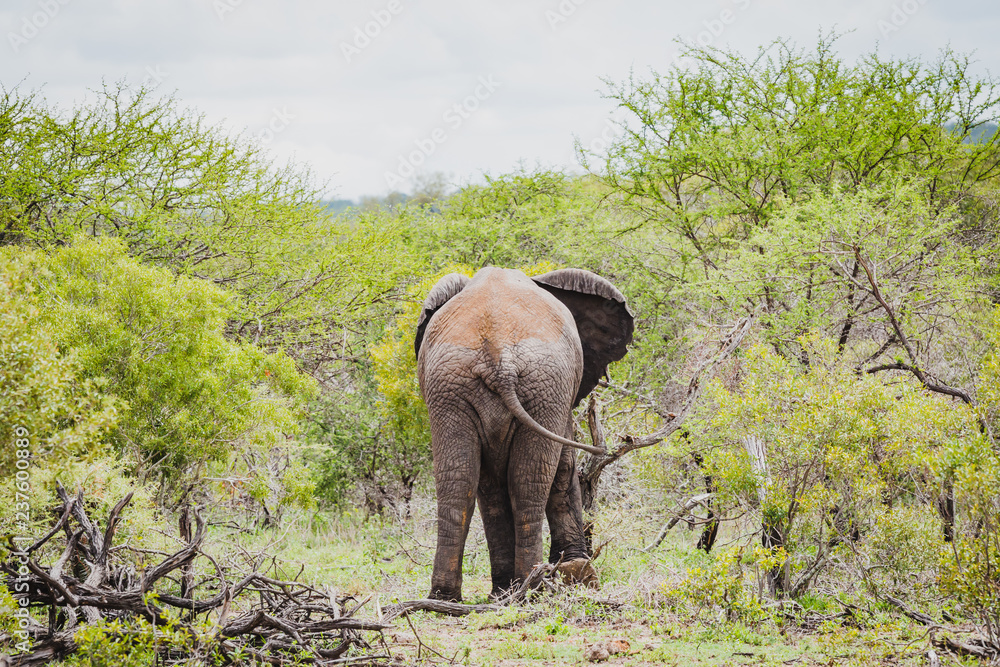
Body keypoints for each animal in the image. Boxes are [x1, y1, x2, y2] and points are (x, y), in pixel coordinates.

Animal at [415, 266, 633, 601]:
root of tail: (498, 354)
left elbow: (488, 484)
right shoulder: (560, 398)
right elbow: (564, 466)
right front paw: (574, 570)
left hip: (451, 388)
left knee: (460, 479)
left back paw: (448, 596)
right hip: (543, 384)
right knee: (529, 479)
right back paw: (532, 586)